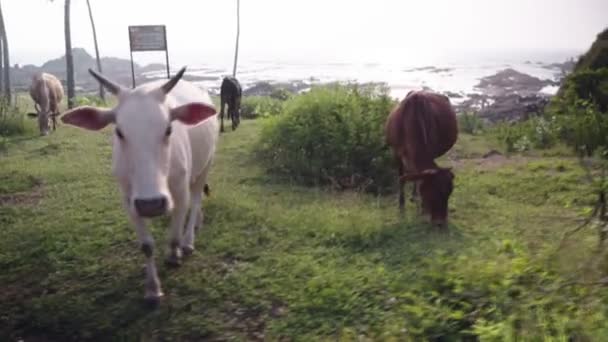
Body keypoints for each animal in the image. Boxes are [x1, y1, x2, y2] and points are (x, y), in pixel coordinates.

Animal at [61, 67, 218, 304]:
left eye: (168, 129)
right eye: (119, 132)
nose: (151, 204)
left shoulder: (180, 191)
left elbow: (174, 234)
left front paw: (174, 254)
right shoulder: (129, 200)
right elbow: (146, 246)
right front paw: (153, 289)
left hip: (206, 165)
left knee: (197, 199)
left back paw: (189, 240)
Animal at [388, 91, 458, 230]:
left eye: (449, 193)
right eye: (434, 192)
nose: (440, 223)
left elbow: (418, 177)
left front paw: (422, 208)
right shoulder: (397, 153)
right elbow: (402, 178)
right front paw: (401, 207)